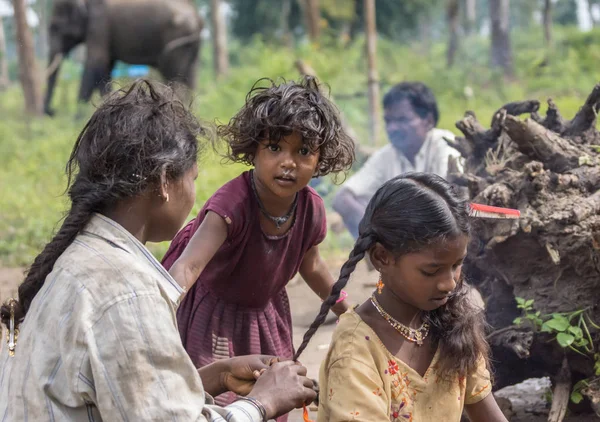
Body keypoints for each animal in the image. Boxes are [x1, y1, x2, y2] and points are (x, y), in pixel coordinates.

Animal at [44, 0, 203, 116]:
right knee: (191, 76)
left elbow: (96, 62)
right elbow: (106, 67)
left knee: (175, 78)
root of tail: (198, 19)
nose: (52, 112)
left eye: (56, 27)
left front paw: (78, 118)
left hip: (177, 37)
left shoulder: (100, 24)